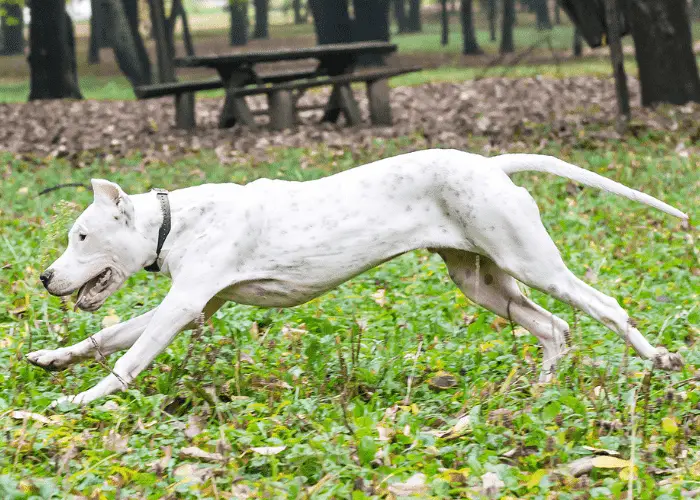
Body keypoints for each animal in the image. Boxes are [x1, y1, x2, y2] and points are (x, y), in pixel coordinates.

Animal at [28, 149, 684, 406]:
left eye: (80, 237)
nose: (43, 277)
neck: (174, 222)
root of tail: (490, 164)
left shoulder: (182, 306)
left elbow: (127, 359)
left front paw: (79, 400)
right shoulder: (194, 308)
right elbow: (106, 337)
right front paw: (52, 359)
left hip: (531, 263)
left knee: (604, 307)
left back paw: (659, 359)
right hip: (483, 283)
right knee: (553, 328)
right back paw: (538, 393)